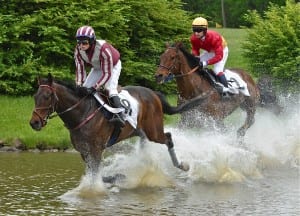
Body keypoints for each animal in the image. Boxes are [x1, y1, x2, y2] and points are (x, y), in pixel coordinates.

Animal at [29, 73, 206, 180]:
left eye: (48, 96)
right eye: (35, 96)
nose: (34, 122)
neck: (82, 113)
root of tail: (153, 93)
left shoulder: (96, 149)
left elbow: (96, 173)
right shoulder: (84, 151)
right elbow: (94, 173)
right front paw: (114, 178)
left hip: (154, 131)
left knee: (168, 137)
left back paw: (182, 165)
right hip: (140, 131)